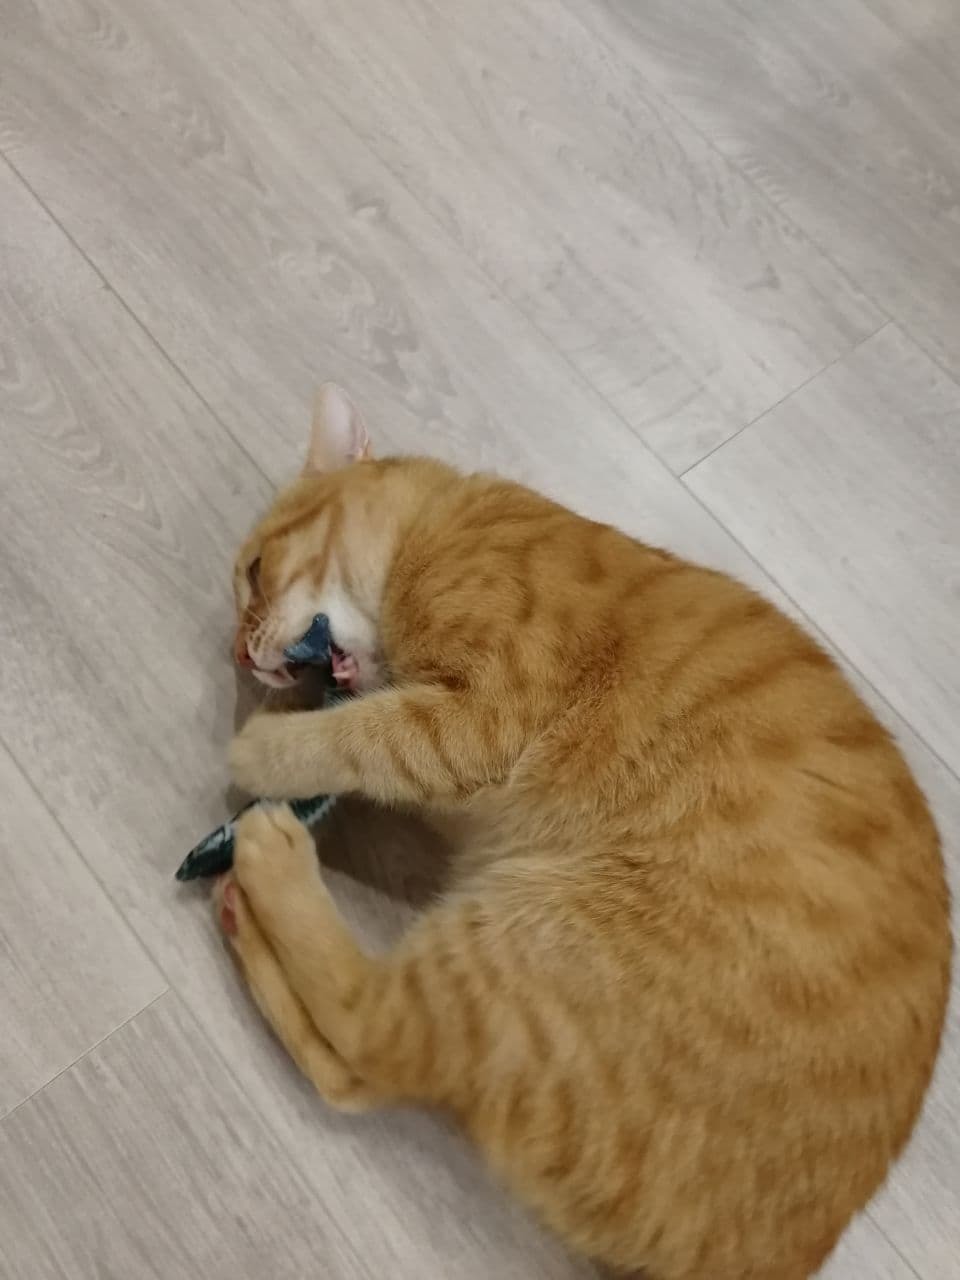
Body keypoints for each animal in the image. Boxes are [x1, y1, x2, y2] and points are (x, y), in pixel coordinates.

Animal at [216, 383, 950, 1280]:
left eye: (254, 572)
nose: (239, 656)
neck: (438, 526)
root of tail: (787, 1254)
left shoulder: (480, 718)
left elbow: (359, 736)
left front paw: (264, 748)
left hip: (530, 933)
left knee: (368, 1035)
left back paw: (267, 860)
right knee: (354, 1069)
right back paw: (242, 911)